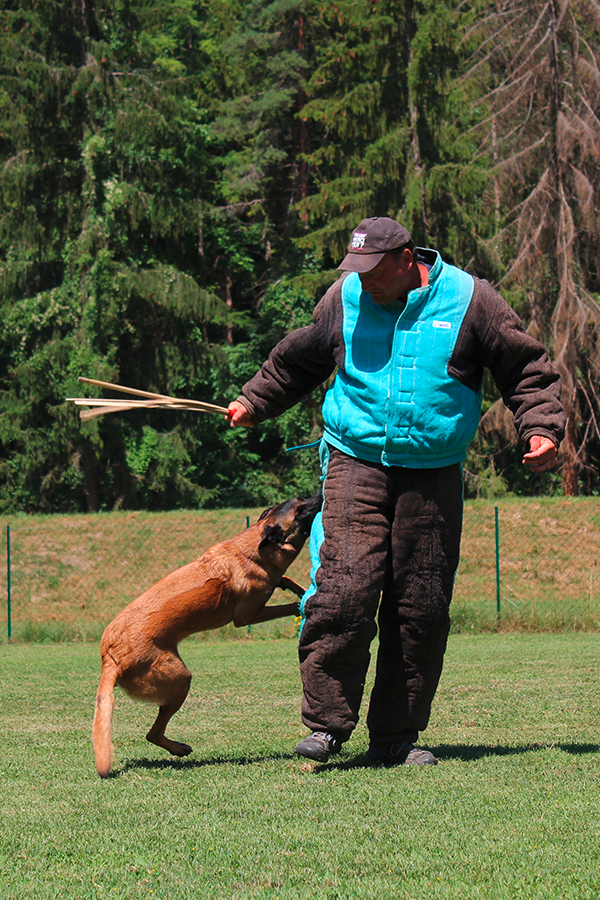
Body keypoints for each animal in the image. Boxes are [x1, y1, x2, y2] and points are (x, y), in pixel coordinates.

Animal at [91, 488, 322, 776]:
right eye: (300, 512)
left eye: (302, 500)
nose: (320, 494)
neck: (248, 550)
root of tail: (109, 658)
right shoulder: (247, 616)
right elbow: (285, 606)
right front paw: (302, 601)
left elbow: (285, 580)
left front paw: (297, 588)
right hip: (180, 679)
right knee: (153, 733)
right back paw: (179, 749)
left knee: (152, 733)